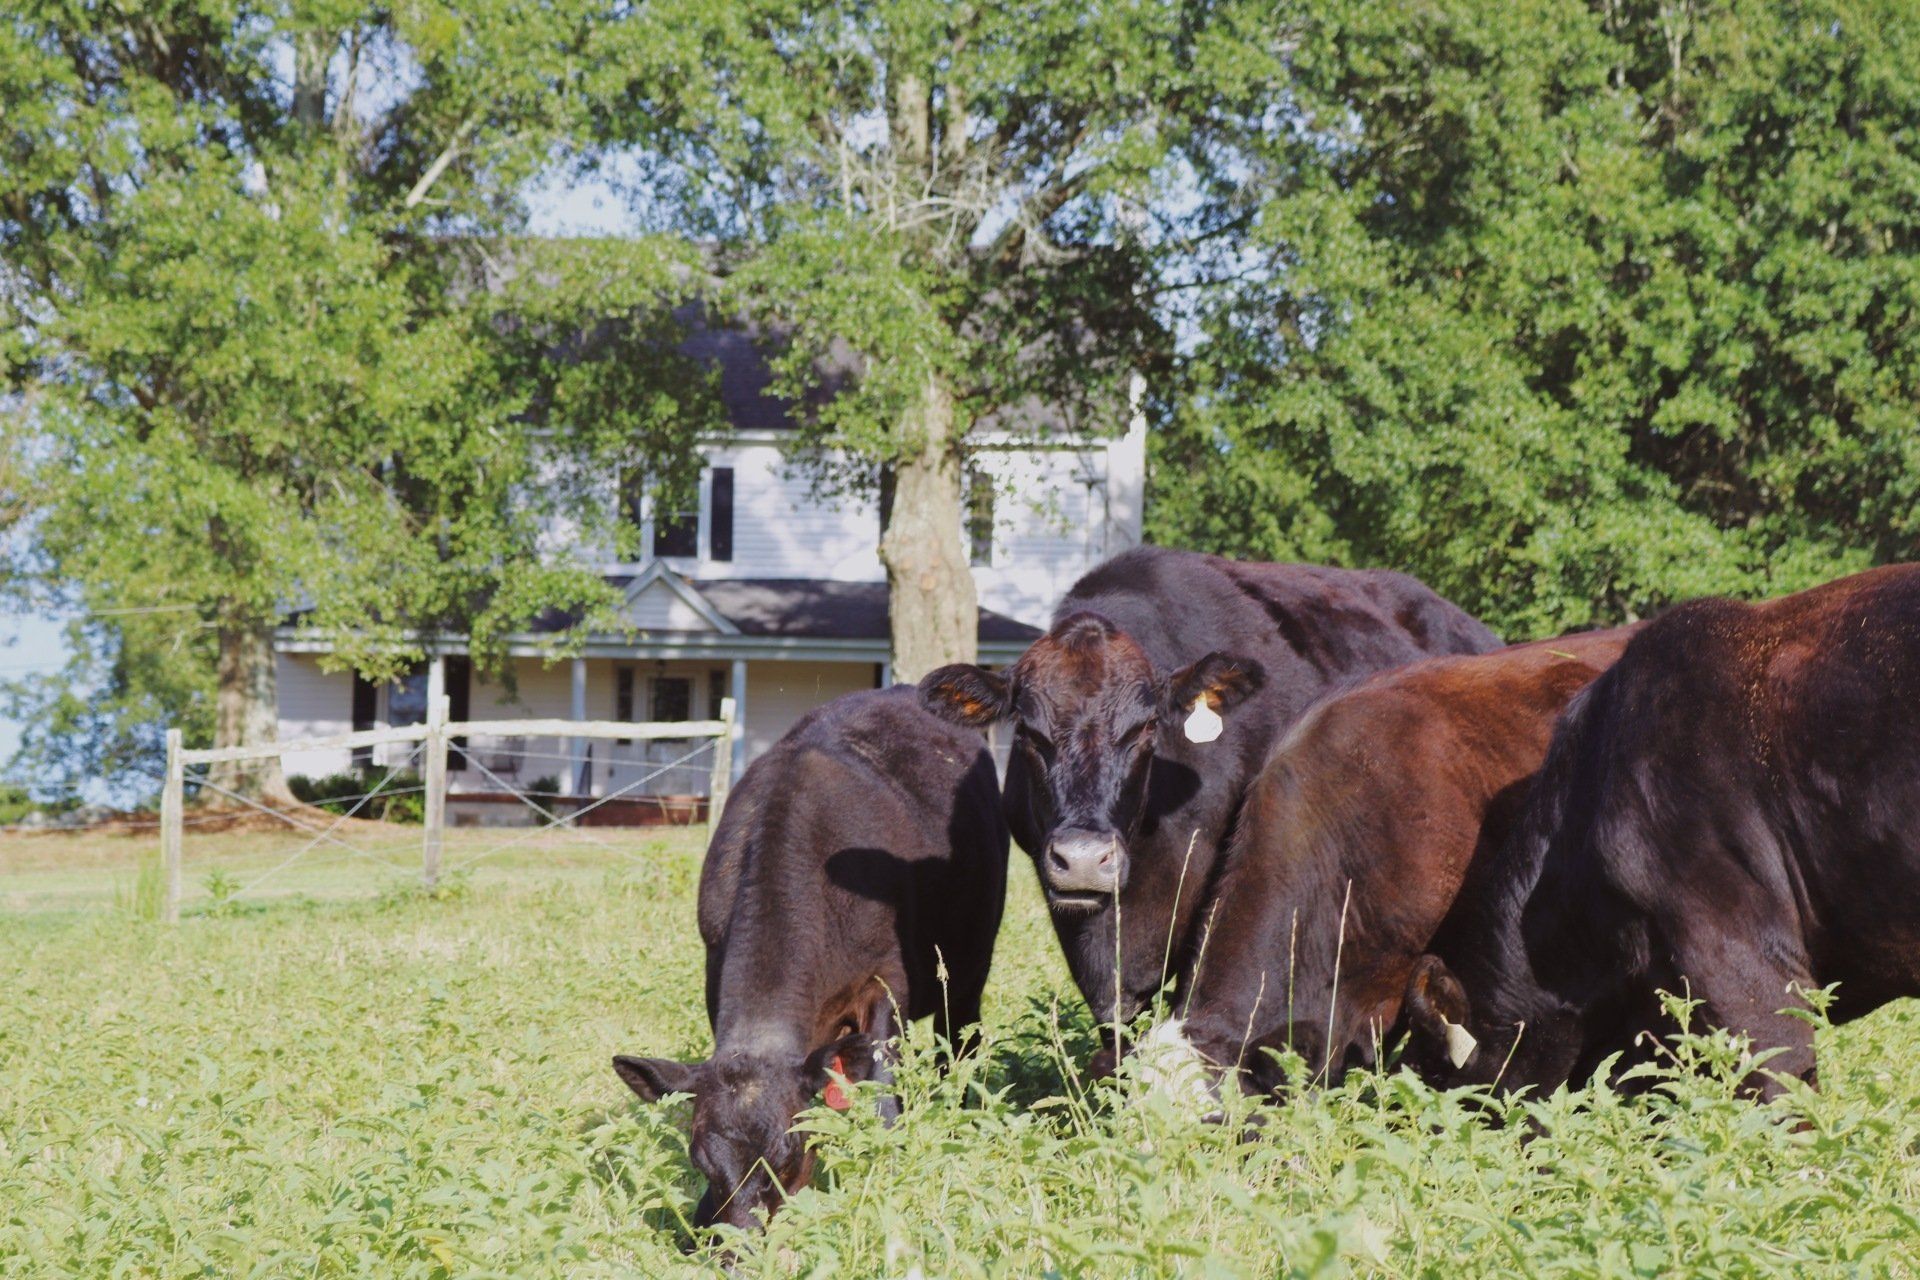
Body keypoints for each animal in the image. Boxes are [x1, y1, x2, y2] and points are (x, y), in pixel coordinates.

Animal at [611, 687, 1009, 1230]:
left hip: (967, 970)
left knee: (959, 1044)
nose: (739, 1244)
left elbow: (881, 1093)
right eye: (700, 1159)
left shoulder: (885, 983)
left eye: (787, 1153)